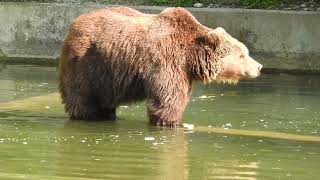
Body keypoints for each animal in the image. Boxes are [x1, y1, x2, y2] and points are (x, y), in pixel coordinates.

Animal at [59, 6, 262, 126]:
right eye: (243, 54)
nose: (259, 67)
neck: (190, 56)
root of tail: (74, 23)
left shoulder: (184, 72)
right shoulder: (166, 61)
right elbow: (168, 100)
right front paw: (171, 122)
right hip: (87, 62)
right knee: (83, 98)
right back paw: (89, 116)